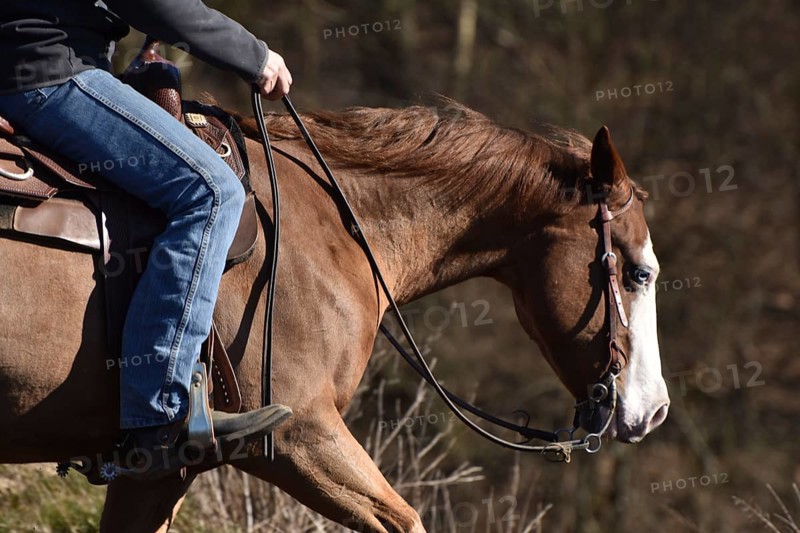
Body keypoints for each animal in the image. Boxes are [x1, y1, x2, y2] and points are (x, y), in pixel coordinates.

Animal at [0, 100, 669, 532]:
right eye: (638, 273)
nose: (654, 410)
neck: (327, 228)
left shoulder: (155, 473)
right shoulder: (302, 434)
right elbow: (402, 521)